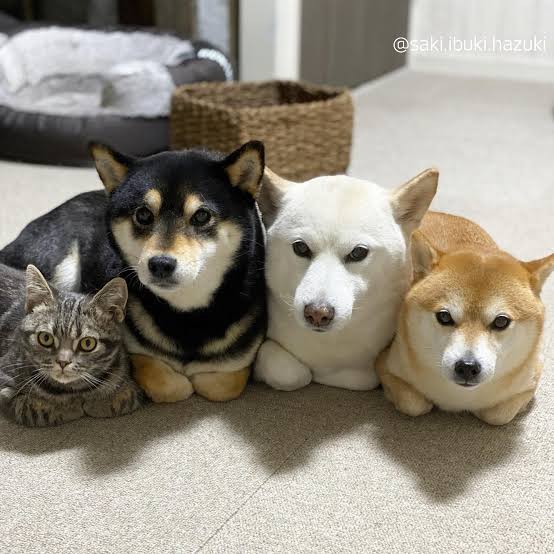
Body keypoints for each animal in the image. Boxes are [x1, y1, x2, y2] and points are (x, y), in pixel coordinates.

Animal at [0, 141, 267, 403]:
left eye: (202, 216)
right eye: (143, 214)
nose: (161, 263)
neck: (186, 315)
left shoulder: (240, 362)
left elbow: (223, 385)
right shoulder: (132, 351)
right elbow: (167, 383)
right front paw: (182, 384)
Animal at [0, 263, 142, 427]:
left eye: (88, 343)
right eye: (46, 338)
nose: (63, 362)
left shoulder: (128, 380)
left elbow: (123, 399)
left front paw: (99, 402)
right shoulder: (6, 385)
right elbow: (36, 409)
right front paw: (70, 407)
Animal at [377, 212, 554, 425]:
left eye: (501, 321)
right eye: (444, 317)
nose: (467, 367)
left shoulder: (531, 378)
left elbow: (498, 415)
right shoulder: (384, 364)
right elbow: (414, 405)